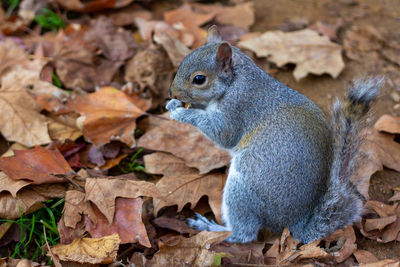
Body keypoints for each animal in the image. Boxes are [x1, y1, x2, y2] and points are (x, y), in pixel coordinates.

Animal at [166, 25, 384, 245]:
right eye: (181, 63)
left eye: (199, 79)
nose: (172, 93)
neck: (234, 81)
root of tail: (295, 223)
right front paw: (173, 105)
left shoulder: (237, 108)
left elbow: (222, 133)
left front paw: (183, 114)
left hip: (243, 191)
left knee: (245, 233)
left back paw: (213, 229)